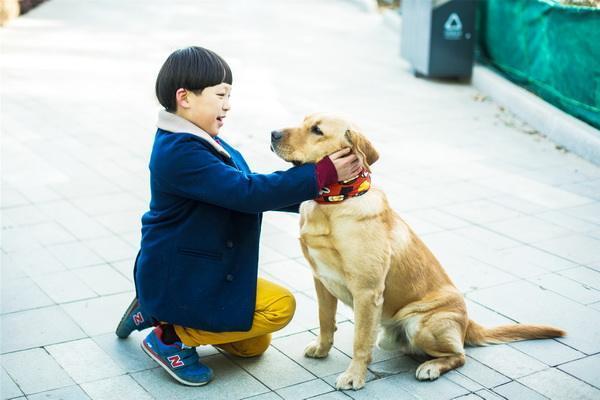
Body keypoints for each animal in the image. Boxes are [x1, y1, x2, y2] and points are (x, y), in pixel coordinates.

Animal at [270, 113, 564, 390]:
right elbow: (325, 320)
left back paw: (431, 367)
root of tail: (468, 322)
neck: (336, 200)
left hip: (420, 324)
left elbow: (359, 342)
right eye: (304, 121)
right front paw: (322, 349)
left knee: (460, 355)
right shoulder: (321, 280)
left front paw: (354, 376)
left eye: (317, 130)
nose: (272, 133)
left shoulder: (367, 292)